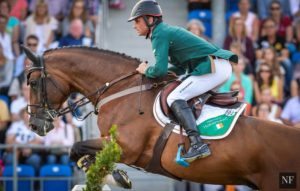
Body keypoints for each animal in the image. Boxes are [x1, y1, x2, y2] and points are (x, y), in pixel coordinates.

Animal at [24, 46, 300, 190]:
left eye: (34, 83)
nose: (35, 125)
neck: (119, 89)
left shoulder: (127, 146)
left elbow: (76, 147)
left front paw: (115, 176)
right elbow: (81, 152)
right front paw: (114, 174)